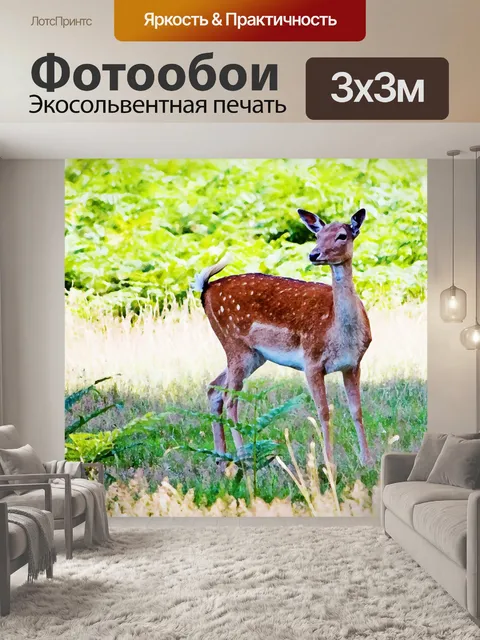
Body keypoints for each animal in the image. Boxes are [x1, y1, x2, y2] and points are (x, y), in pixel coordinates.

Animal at [194, 208, 372, 466]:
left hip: (252, 355)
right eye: (317, 235)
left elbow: (356, 410)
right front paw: (329, 462)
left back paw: (222, 459)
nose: (314, 254)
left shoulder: (353, 364)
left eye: (342, 235)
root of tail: (205, 290)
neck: (340, 334)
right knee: (230, 398)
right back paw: (244, 458)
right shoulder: (312, 361)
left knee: (213, 388)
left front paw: (367, 460)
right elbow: (324, 411)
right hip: (233, 343)